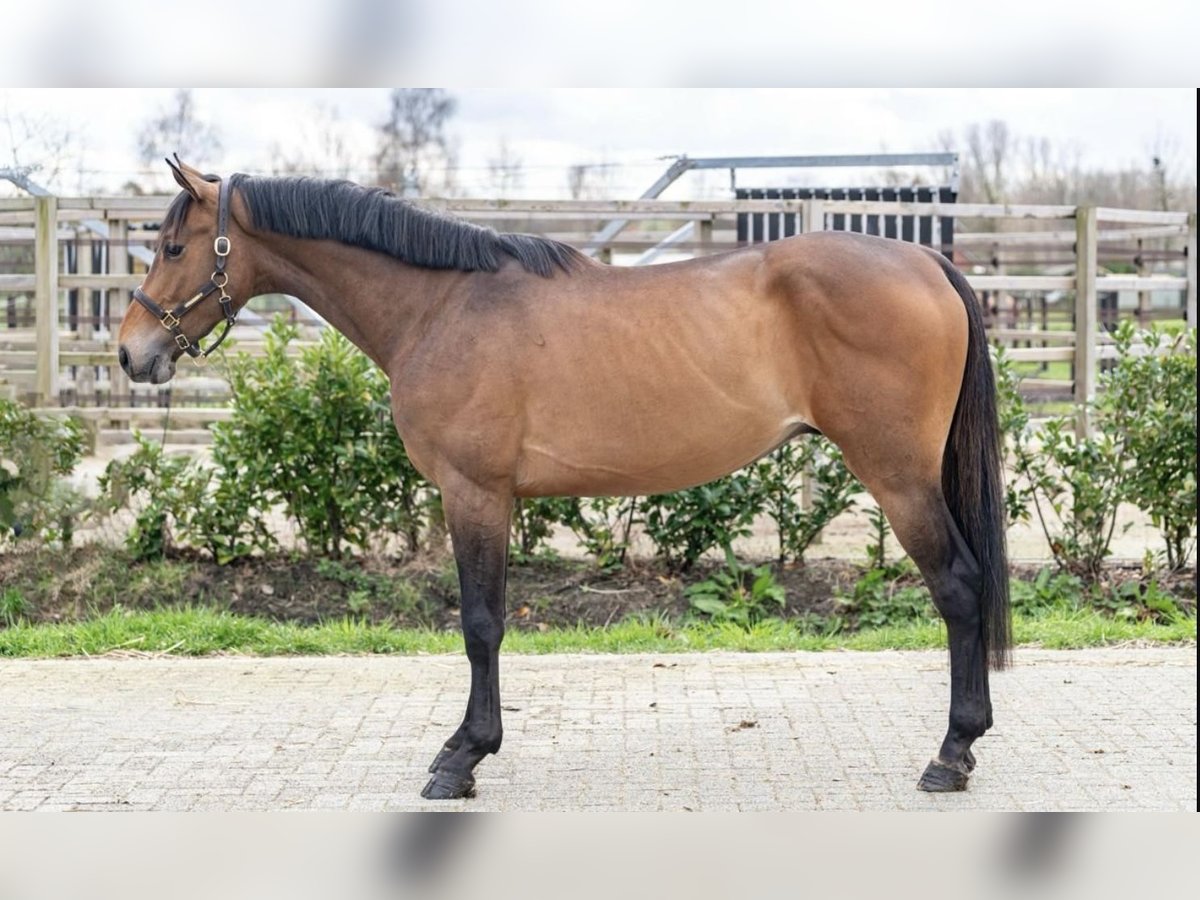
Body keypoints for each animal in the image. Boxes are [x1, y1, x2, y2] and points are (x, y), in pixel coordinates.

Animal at [119, 158, 1012, 801]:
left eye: (173, 249)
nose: (132, 353)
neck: (441, 307)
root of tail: (927, 260)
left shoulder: (473, 493)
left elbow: (480, 625)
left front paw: (462, 759)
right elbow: (488, 622)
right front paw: (467, 748)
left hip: (899, 477)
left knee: (958, 587)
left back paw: (951, 754)